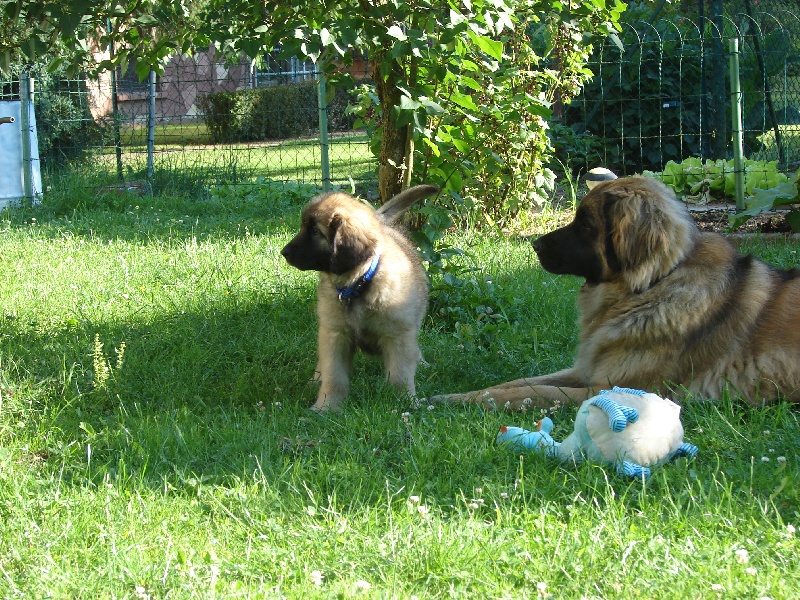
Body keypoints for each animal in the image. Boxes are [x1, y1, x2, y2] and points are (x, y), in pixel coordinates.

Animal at [281, 184, 439, 412]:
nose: (284, 252)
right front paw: (327, 406)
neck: (359, 285)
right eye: (303, 227)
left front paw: (404, 402)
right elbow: (334, 375)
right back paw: (315, 380)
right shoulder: (335, 335)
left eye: (315, 231)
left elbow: (400, 375)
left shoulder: (398, 335)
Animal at [432, 176, 800, 411]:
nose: (534, 245)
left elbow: (536, 391)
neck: (652, 284)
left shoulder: (609, 388)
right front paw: (462, 395)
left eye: (585, 225)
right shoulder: (587, 370)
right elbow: (520, 383)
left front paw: (461, 402)